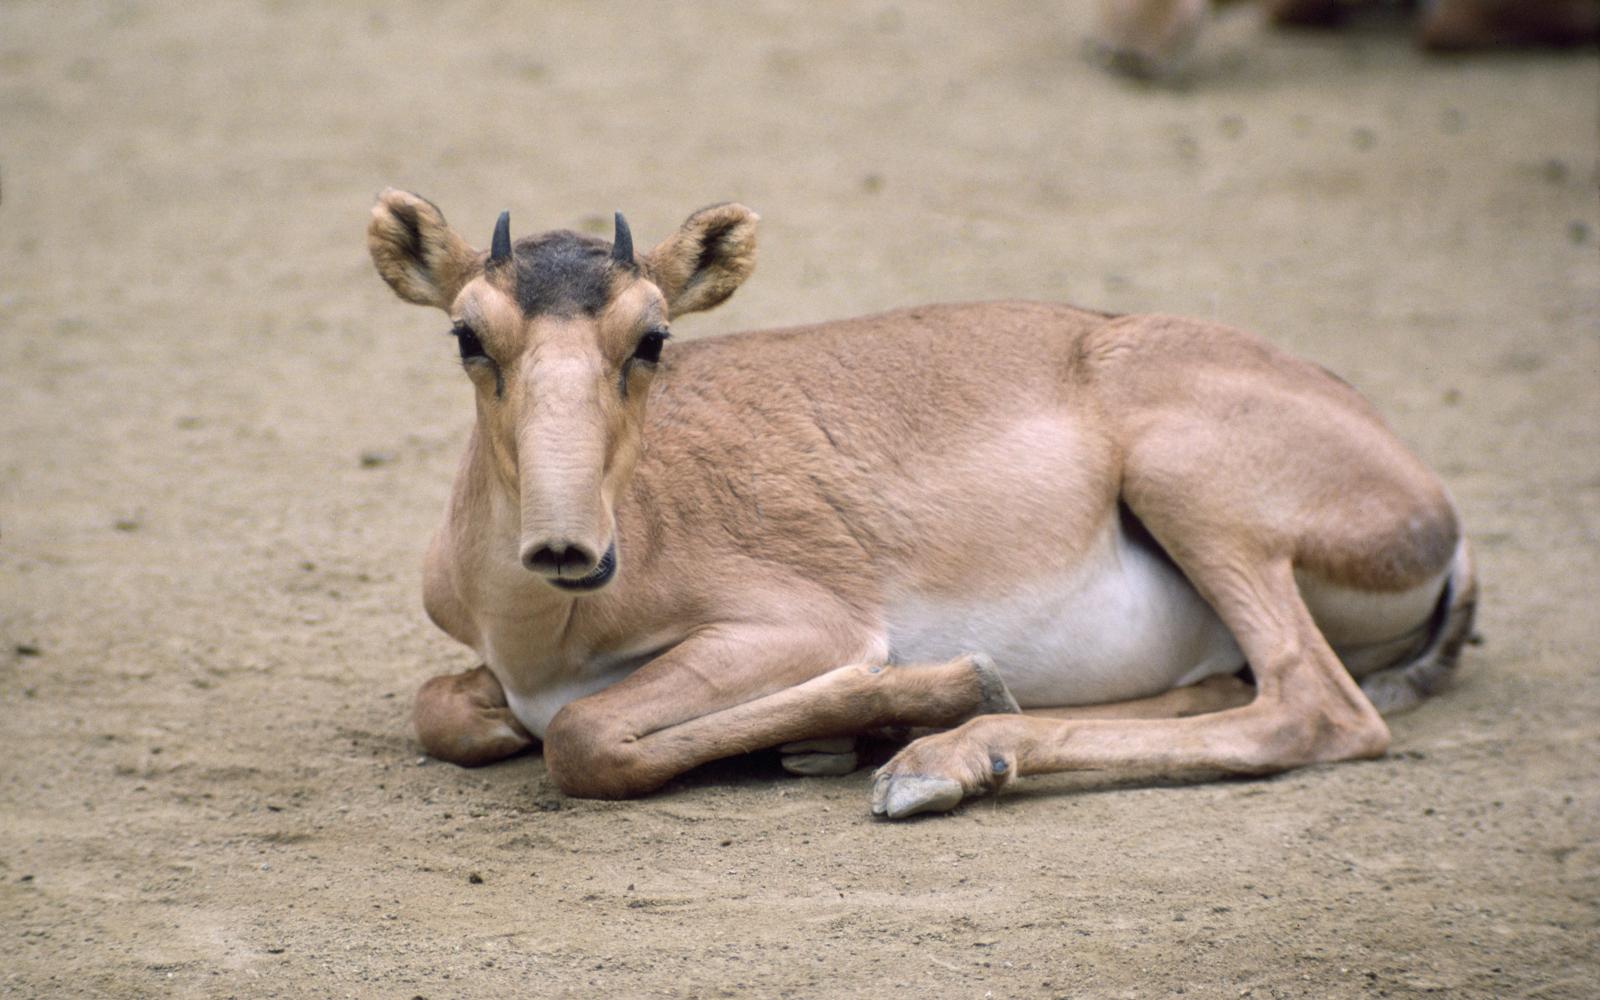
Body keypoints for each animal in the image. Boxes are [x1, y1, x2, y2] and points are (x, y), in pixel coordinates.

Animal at [366, 188, 1472, 819]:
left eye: (653, 334)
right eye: (468, 331)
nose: (569, 548)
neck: (542, 631)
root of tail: (1432, 510)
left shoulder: (800, 629)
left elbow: (581, 735)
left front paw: (909, 701)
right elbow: (449, 709)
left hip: (1193, 496)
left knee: (1311, 706)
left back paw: (935, 756)